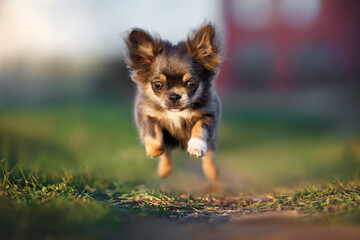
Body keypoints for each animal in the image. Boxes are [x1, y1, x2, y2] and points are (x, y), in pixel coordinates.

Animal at [125, 23, 221, 181]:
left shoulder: (208, 114)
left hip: (212, 140)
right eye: (158, 85)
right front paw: (154, 151)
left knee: (210, 155)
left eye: (191, 84)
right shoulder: (146, 115)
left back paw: (212, 173)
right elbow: (154, 137)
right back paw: (164, 170)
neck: (176, 113)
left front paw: (197, 146)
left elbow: (200, 128)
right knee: (167, 152)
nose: (175, 96)